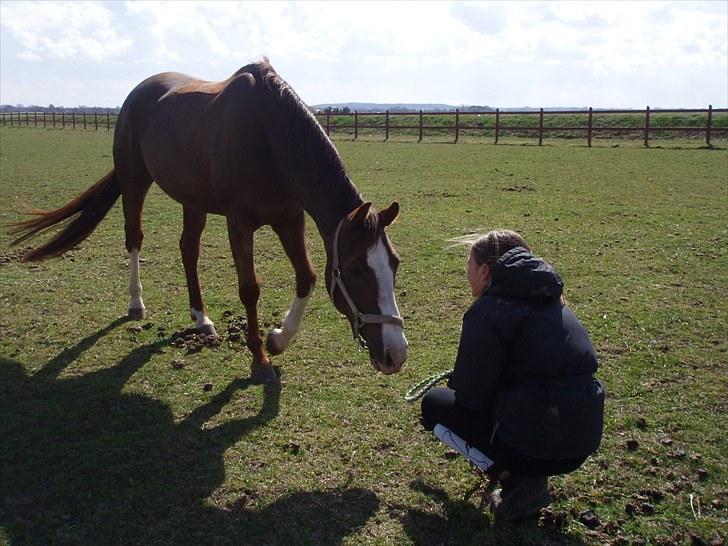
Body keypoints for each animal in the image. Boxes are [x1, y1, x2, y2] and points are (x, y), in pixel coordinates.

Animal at [10, 59, 408, 384]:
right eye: (355, 269)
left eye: (394, 263)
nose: (396, 354)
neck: (269, 136)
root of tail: (138, 94)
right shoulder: (239, 222)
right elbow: (249, 288)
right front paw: (260, 360)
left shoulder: (289, 219)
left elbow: (307, 277)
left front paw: (277, 339)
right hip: (134, 182)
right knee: (134, 238)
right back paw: (136, 303)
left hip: (193, 201)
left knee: (188, 250)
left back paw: (201, 319)